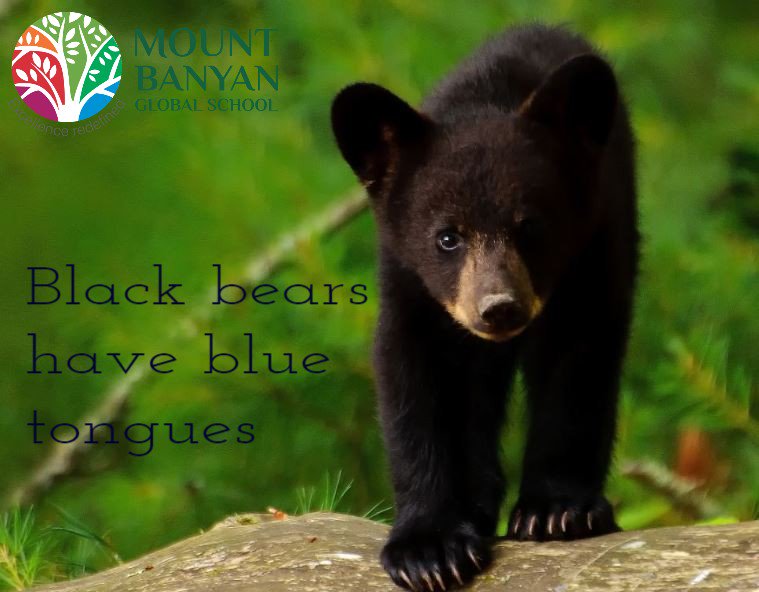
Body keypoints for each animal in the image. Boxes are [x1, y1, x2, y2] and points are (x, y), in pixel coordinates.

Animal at [331, 23, 638, 591]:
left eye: (531, 227)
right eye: (447, 237)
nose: (499, 308)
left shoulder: (593, 254)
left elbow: (577, 368)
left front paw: (557, 510)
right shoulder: (411, 286)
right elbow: (413, 384)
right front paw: (427, 549)